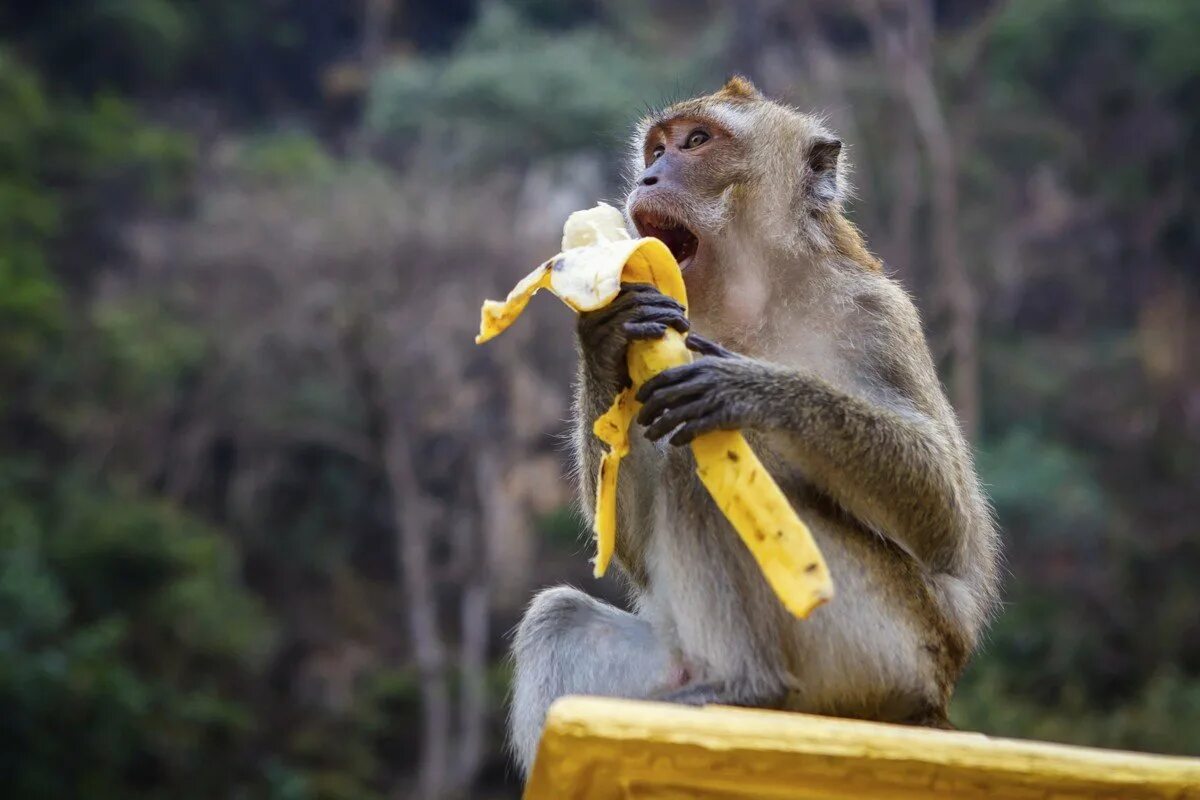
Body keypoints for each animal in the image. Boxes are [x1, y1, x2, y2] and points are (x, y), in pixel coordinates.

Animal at [506, 74, 1003, 777]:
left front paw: (750, 388)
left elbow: (950, 526)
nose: (650, 175)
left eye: (696, 142)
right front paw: (603, 330)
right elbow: (629, 544)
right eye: (657, 148)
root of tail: (928, 706)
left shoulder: (876, 316)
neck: (752, 296)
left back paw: (751, 685)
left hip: (877, 647)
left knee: (700, 466)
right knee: (560, 615)